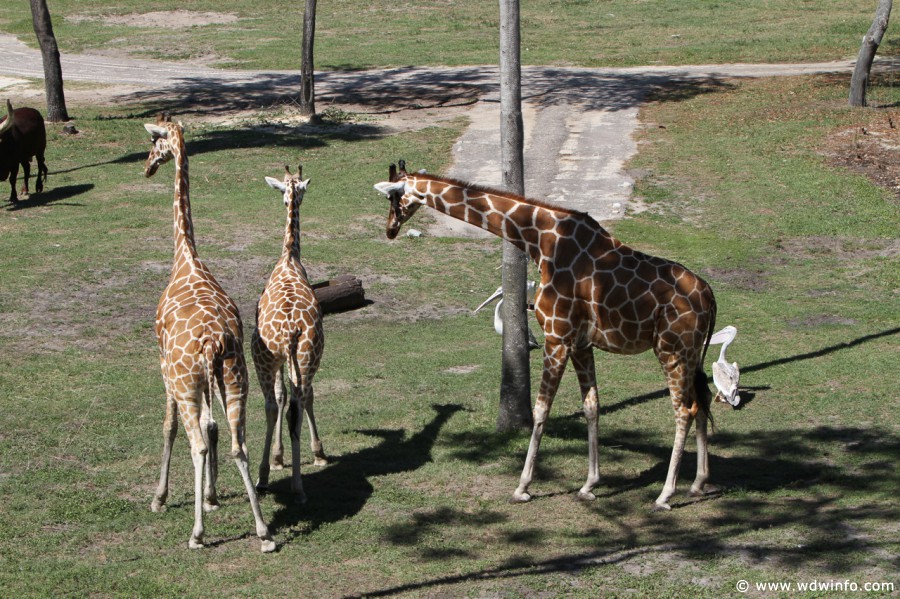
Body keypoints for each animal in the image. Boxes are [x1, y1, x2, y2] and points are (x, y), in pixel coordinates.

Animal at [142, 113, 276, 552]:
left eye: (155, 142)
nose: (148, 166)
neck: (185, 255)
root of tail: (213, 341)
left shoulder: (164, 368)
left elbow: (169, 427)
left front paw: (160, 498)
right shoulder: (208, 380)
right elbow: (214, 426)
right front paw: (214, 495)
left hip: (188, 382)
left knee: (197, 441)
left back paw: (197, 534)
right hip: (235, 378)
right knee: (237, 443)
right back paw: (264, 531)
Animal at [376, 163, 720, 510]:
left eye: (392, 197)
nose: (390, 229)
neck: (540, 241)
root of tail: (709, 296)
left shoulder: (556, 336)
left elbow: (541, 409)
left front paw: (522, 486)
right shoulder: (580, 343)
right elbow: (591, 405)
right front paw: (589, 484)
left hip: (671, 350)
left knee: (684, 409)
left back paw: (665, 494)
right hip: (691, 354)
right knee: (703, 399)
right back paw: (698, 483)